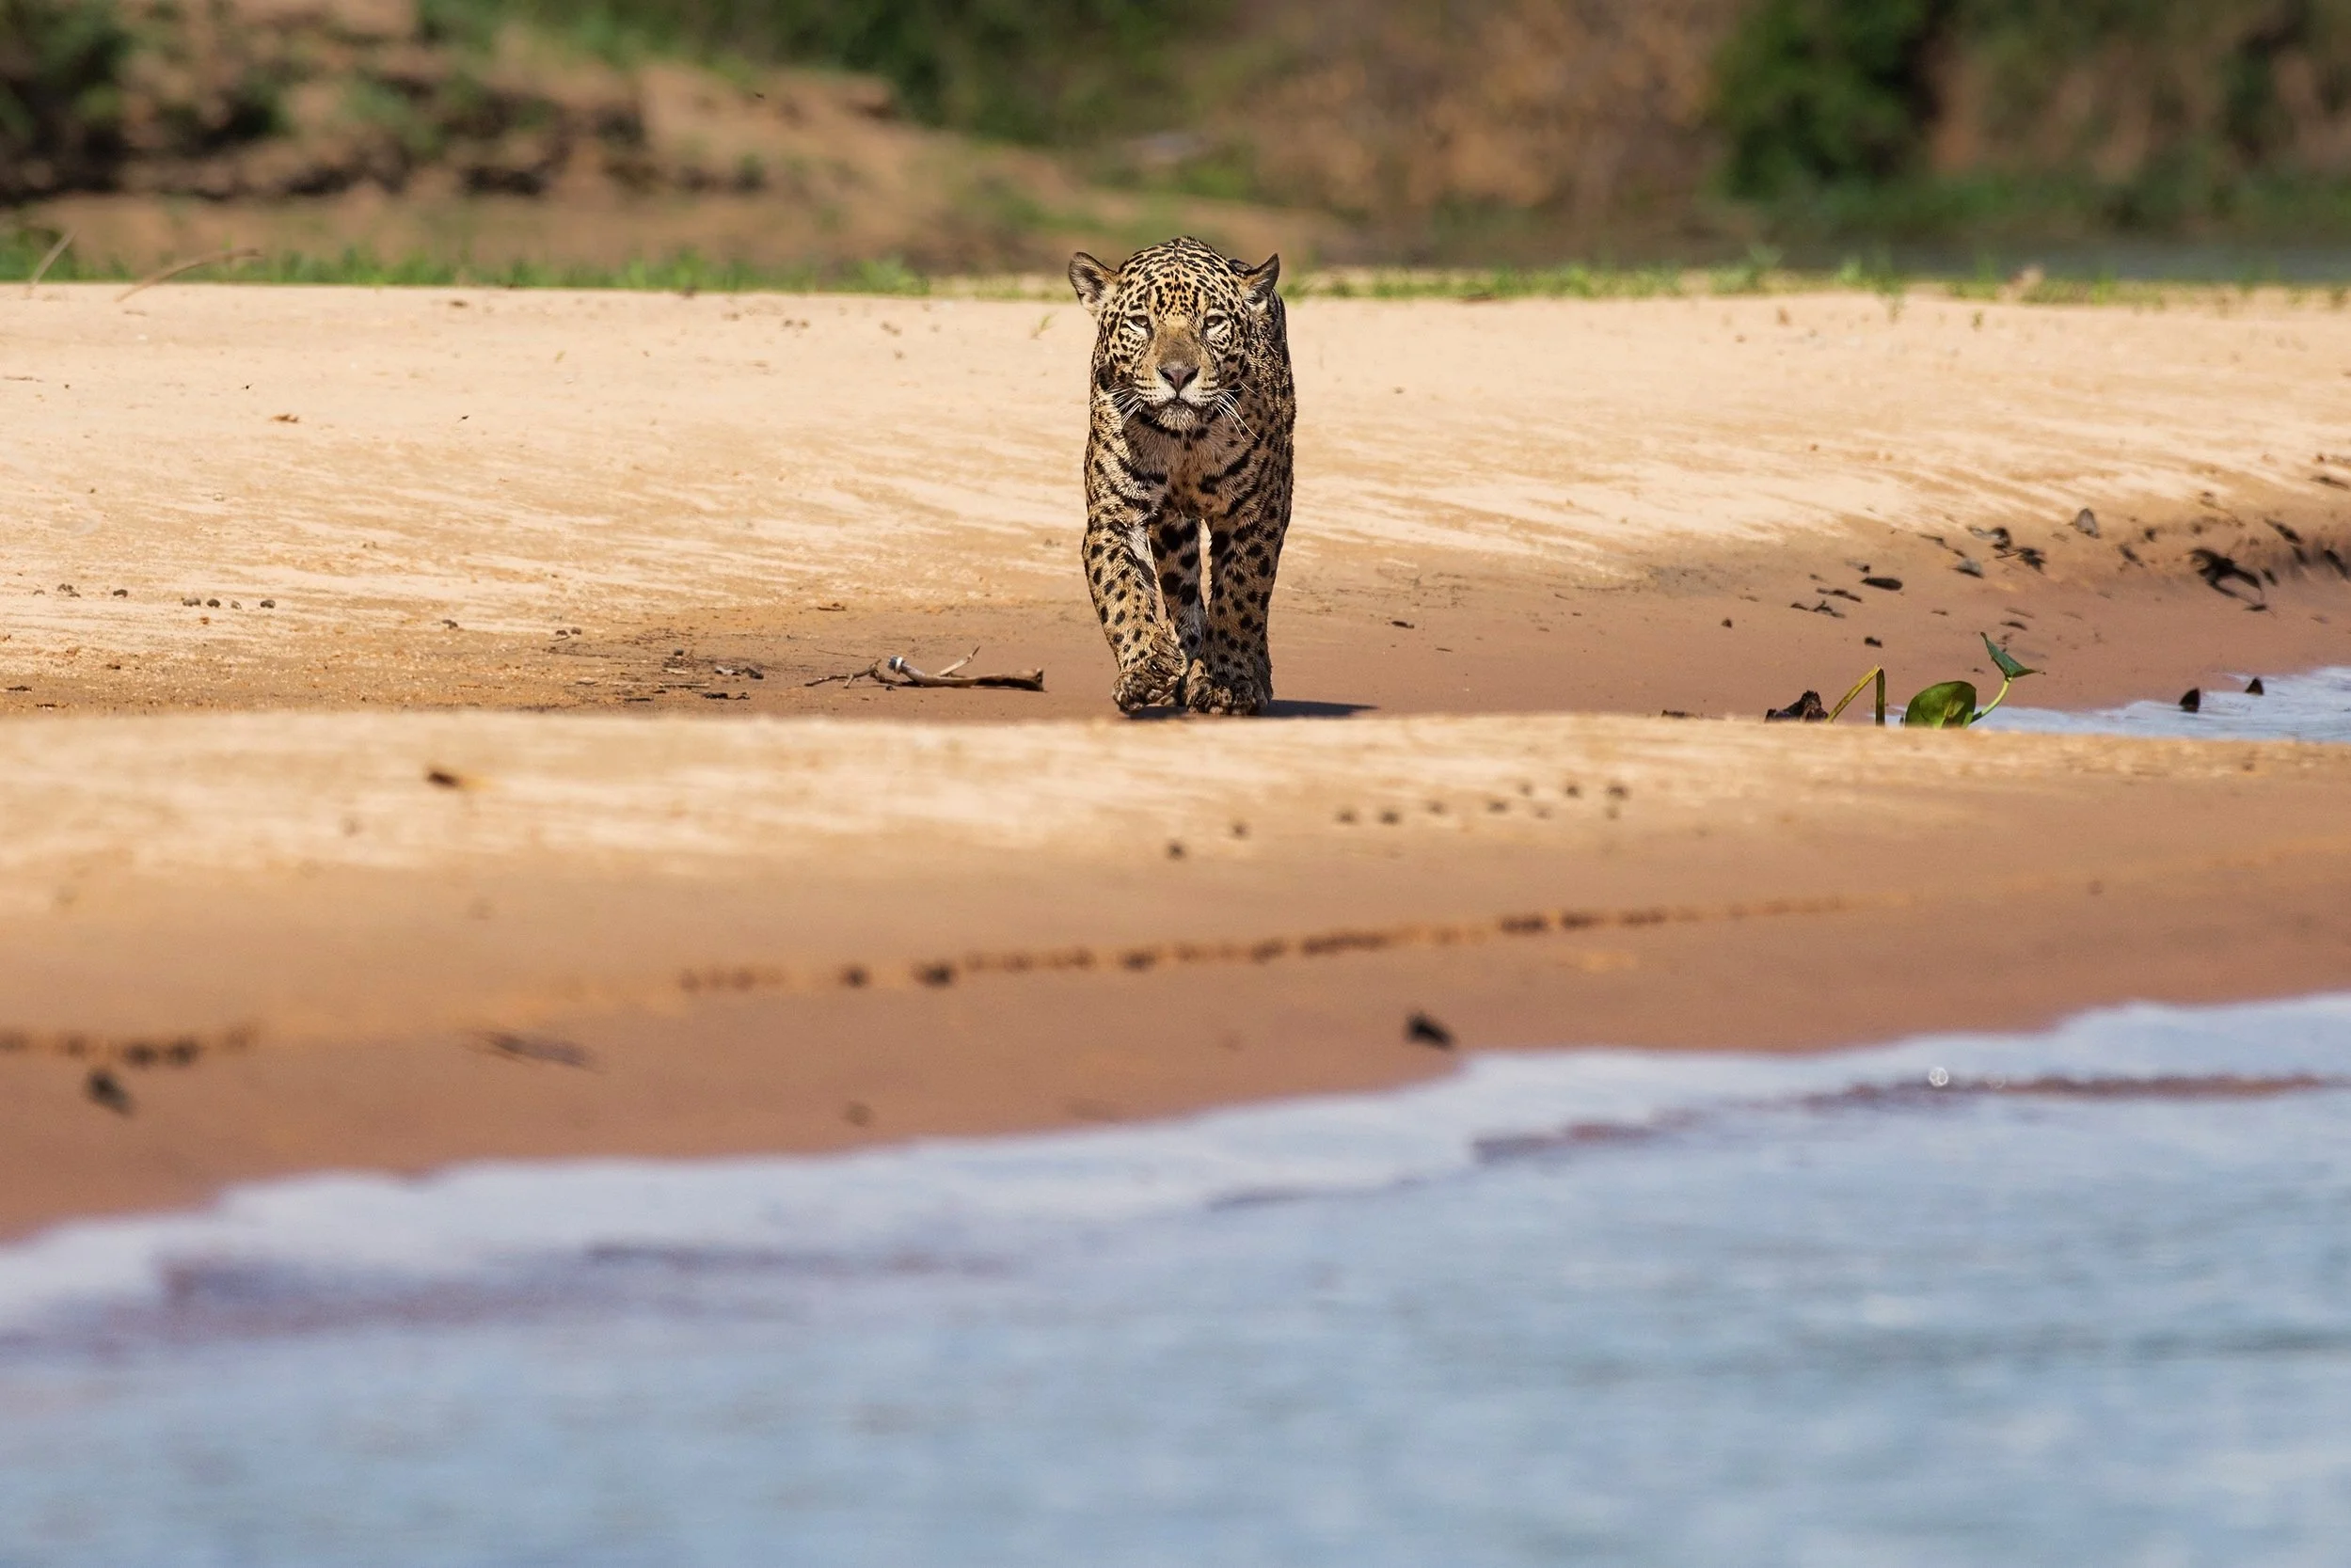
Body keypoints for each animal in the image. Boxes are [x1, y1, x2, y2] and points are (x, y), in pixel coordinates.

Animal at [1067, 235, 1296, 716]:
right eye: (1141, 322)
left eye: (1213, 323)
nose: (1177, 374)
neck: (1185, 442)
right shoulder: (1114, 516)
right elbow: (1122, 590)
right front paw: (1145, 666)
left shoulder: (1257, 515)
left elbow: (1242, 593)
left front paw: (1227, 680)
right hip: (1172, 531)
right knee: (1182, 591)